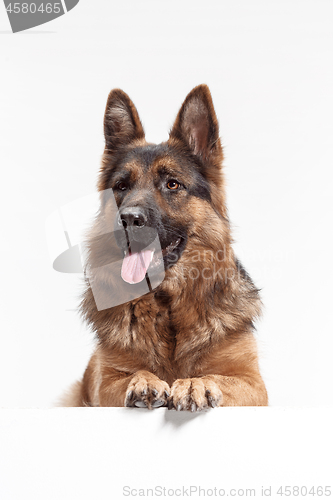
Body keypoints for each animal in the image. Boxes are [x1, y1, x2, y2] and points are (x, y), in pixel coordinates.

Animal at [61, 83, 268, 410]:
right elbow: (131, 375)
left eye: (172, 184)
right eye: (121, 187)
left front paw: (196, 382)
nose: (128, 219)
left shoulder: (253, 384)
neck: (168, 304)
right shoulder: (103, 384)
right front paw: (145, 380)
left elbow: (217, 376)